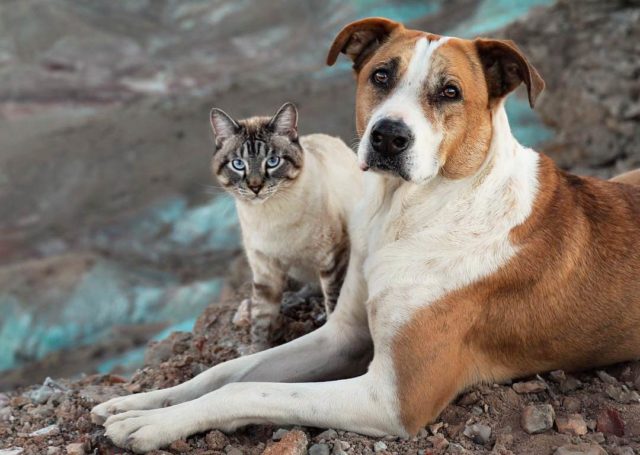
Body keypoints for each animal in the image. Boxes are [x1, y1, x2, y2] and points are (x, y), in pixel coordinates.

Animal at [209, 103, 362, 350]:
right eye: (238, 164)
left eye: (272, 162)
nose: (255, 187)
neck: (271, 216)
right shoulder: (265, 274)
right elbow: (260, 322)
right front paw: (257, 350)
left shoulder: (332, 259)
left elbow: (333, 302)